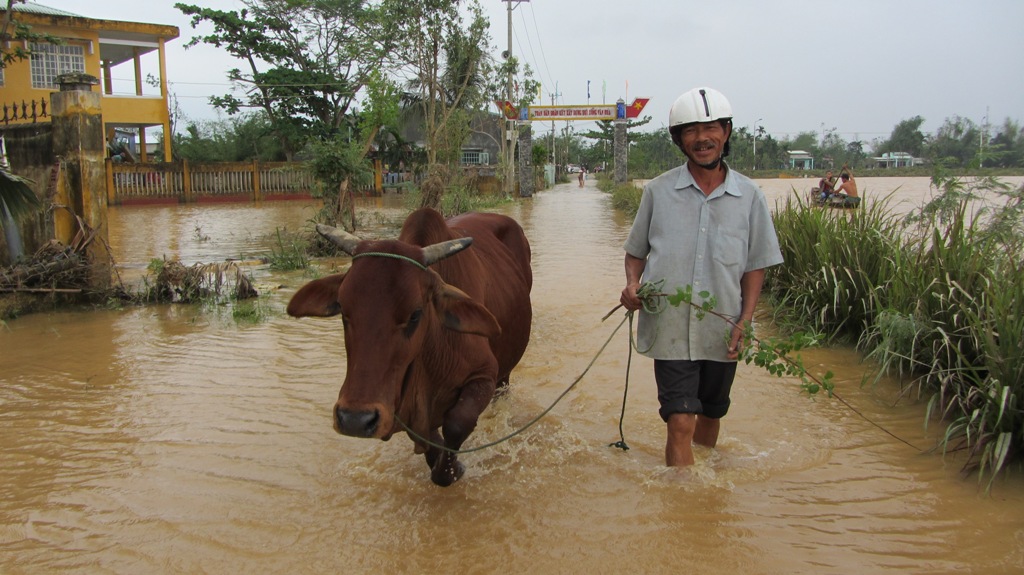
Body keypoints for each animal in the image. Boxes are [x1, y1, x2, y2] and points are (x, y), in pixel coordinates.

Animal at [286, 205, 532, 482]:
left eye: (415, 314)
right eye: (343, 311)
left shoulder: (484, 374)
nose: (354, 419)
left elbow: (457, 423)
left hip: (504, 373)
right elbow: (426, 436)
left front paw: (452, 469)